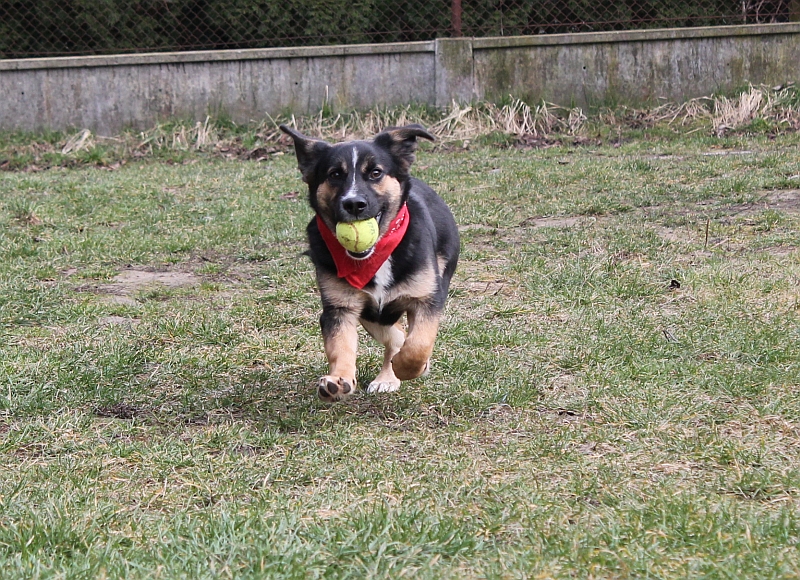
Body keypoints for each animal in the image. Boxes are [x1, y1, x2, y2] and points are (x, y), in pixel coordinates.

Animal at [280, 124, 459, 401]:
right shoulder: (340, 307)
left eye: (375, 173)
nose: (354, 204)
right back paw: (387, 377)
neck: (374, 257)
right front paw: (338, 379)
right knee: (396, 336)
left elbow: (419, 343)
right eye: (335, 174)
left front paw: (409, 367)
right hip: (373, 316)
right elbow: (340, 346)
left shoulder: (426, 297)